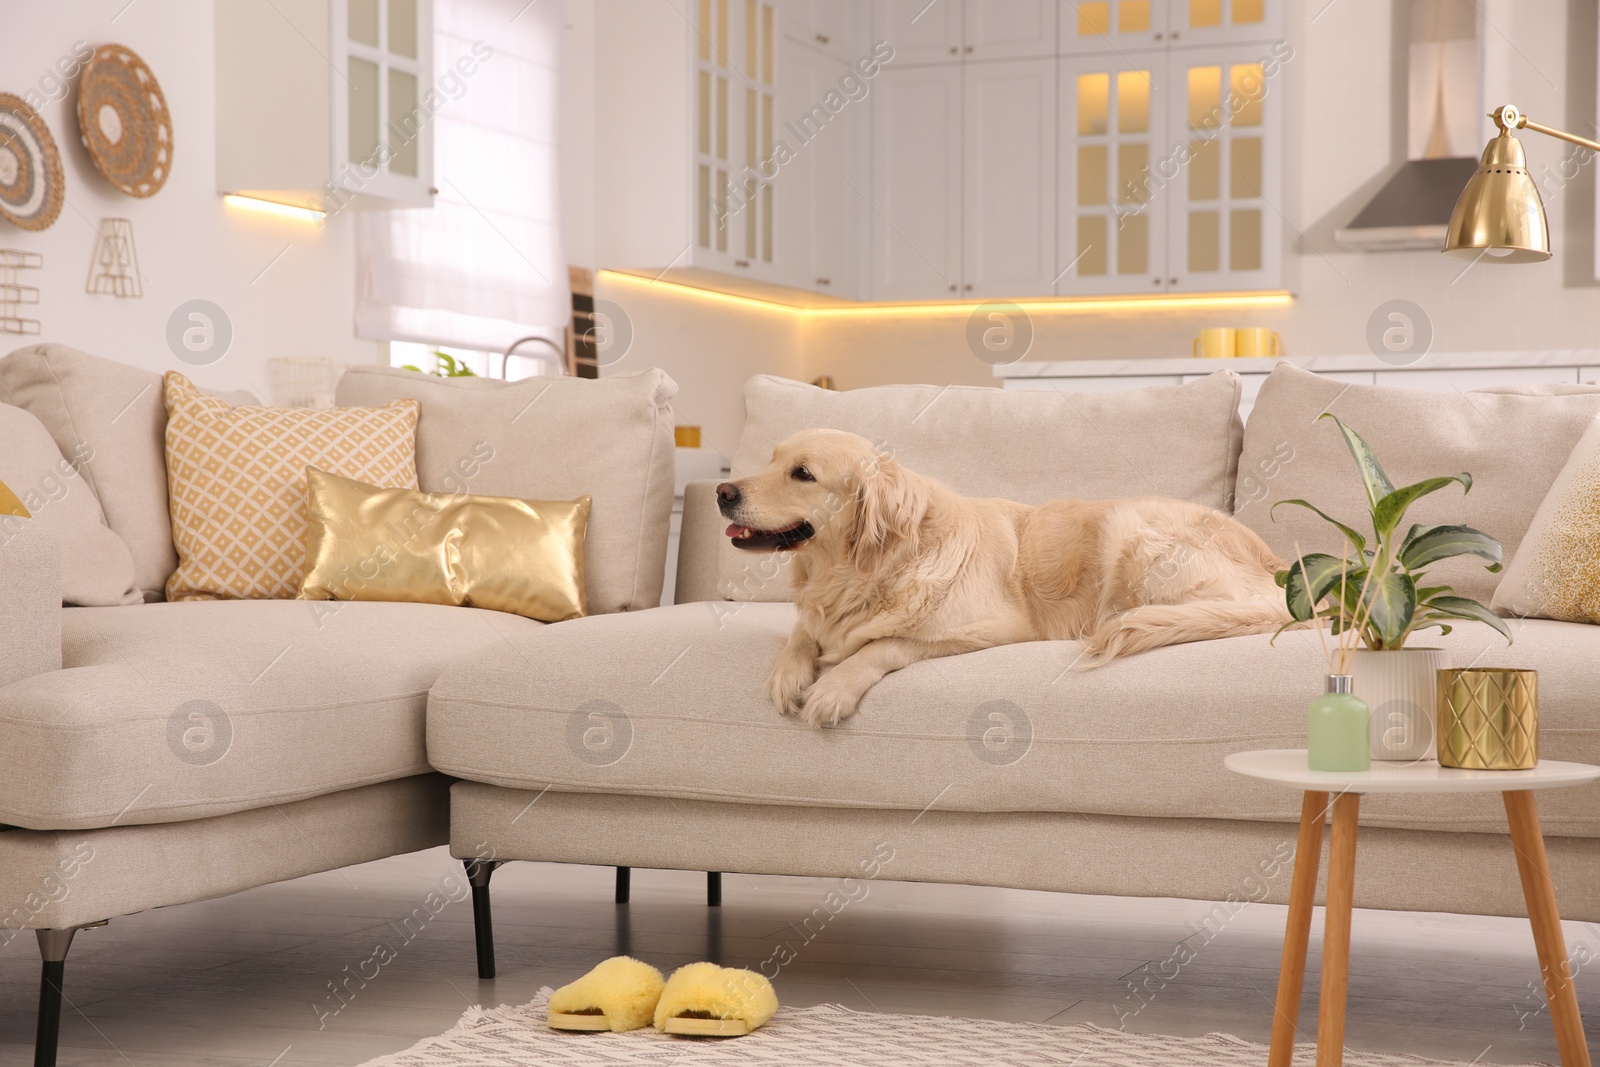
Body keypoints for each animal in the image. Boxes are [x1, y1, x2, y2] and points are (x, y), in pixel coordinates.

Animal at [720, 428, 1292, 726]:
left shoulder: (991, 629)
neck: (861, 571)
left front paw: (833, 687)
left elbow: (885, 644)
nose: (723, 491)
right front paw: (790, 672)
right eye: (770, 460)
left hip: (1131, 527)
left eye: (803, 474)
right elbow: (801, 633)